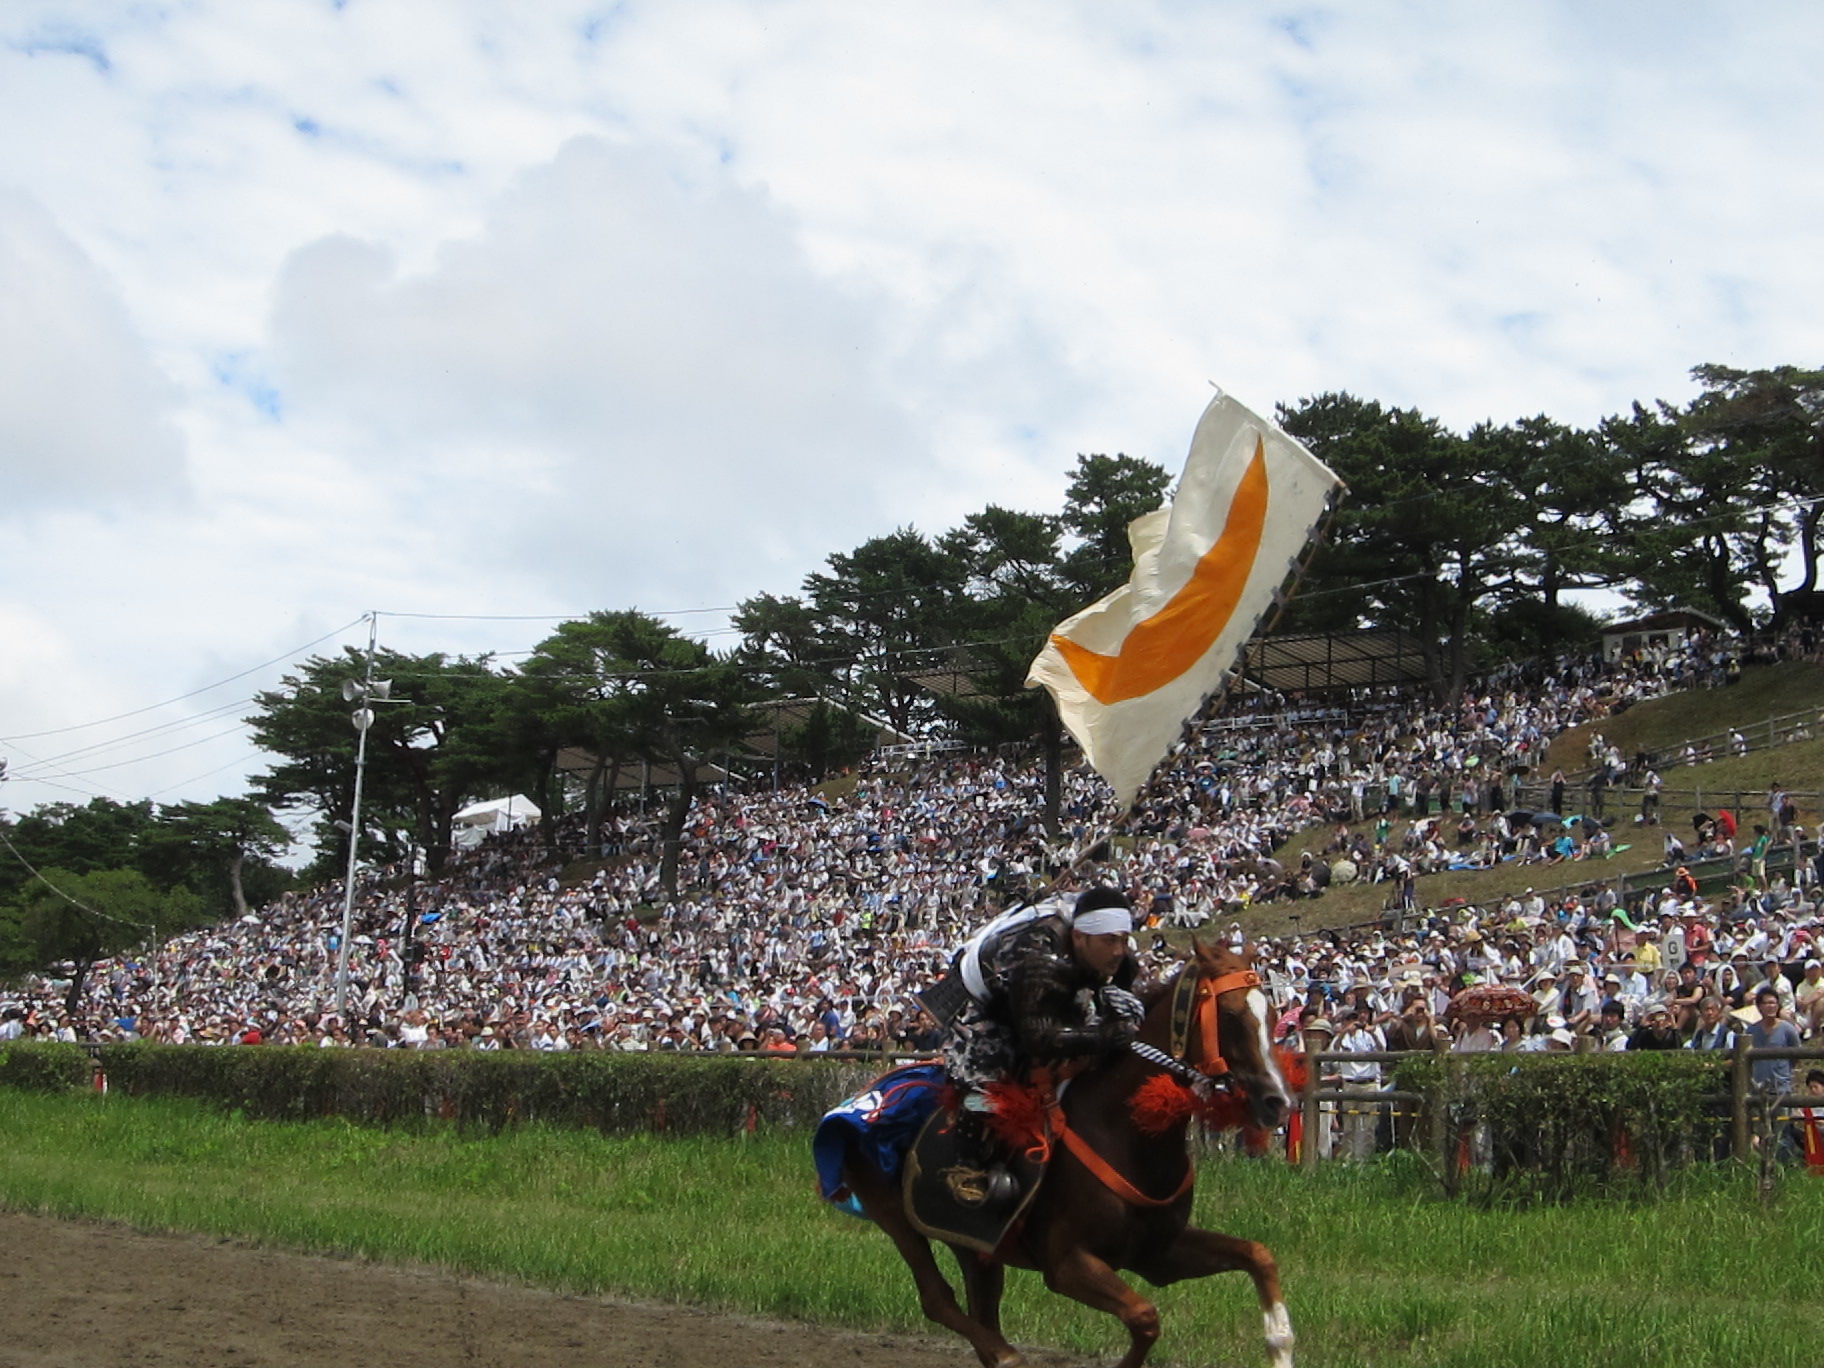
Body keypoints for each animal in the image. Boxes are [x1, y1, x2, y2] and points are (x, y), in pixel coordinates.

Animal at [839, 941, 1298, 1368]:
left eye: (1274, 1014)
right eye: (1232, 1015)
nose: (1278, 1101)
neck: (1126, 1132)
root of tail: (872, 1092)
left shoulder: (1159, 1253)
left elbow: (1259, 1255)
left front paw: (1279, 1344)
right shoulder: (1065, 1263)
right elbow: (1145, 1318)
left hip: (975, 1244)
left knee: (979, 1305)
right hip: (894, 1215)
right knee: (937, 1298)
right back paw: (1007, 1355)